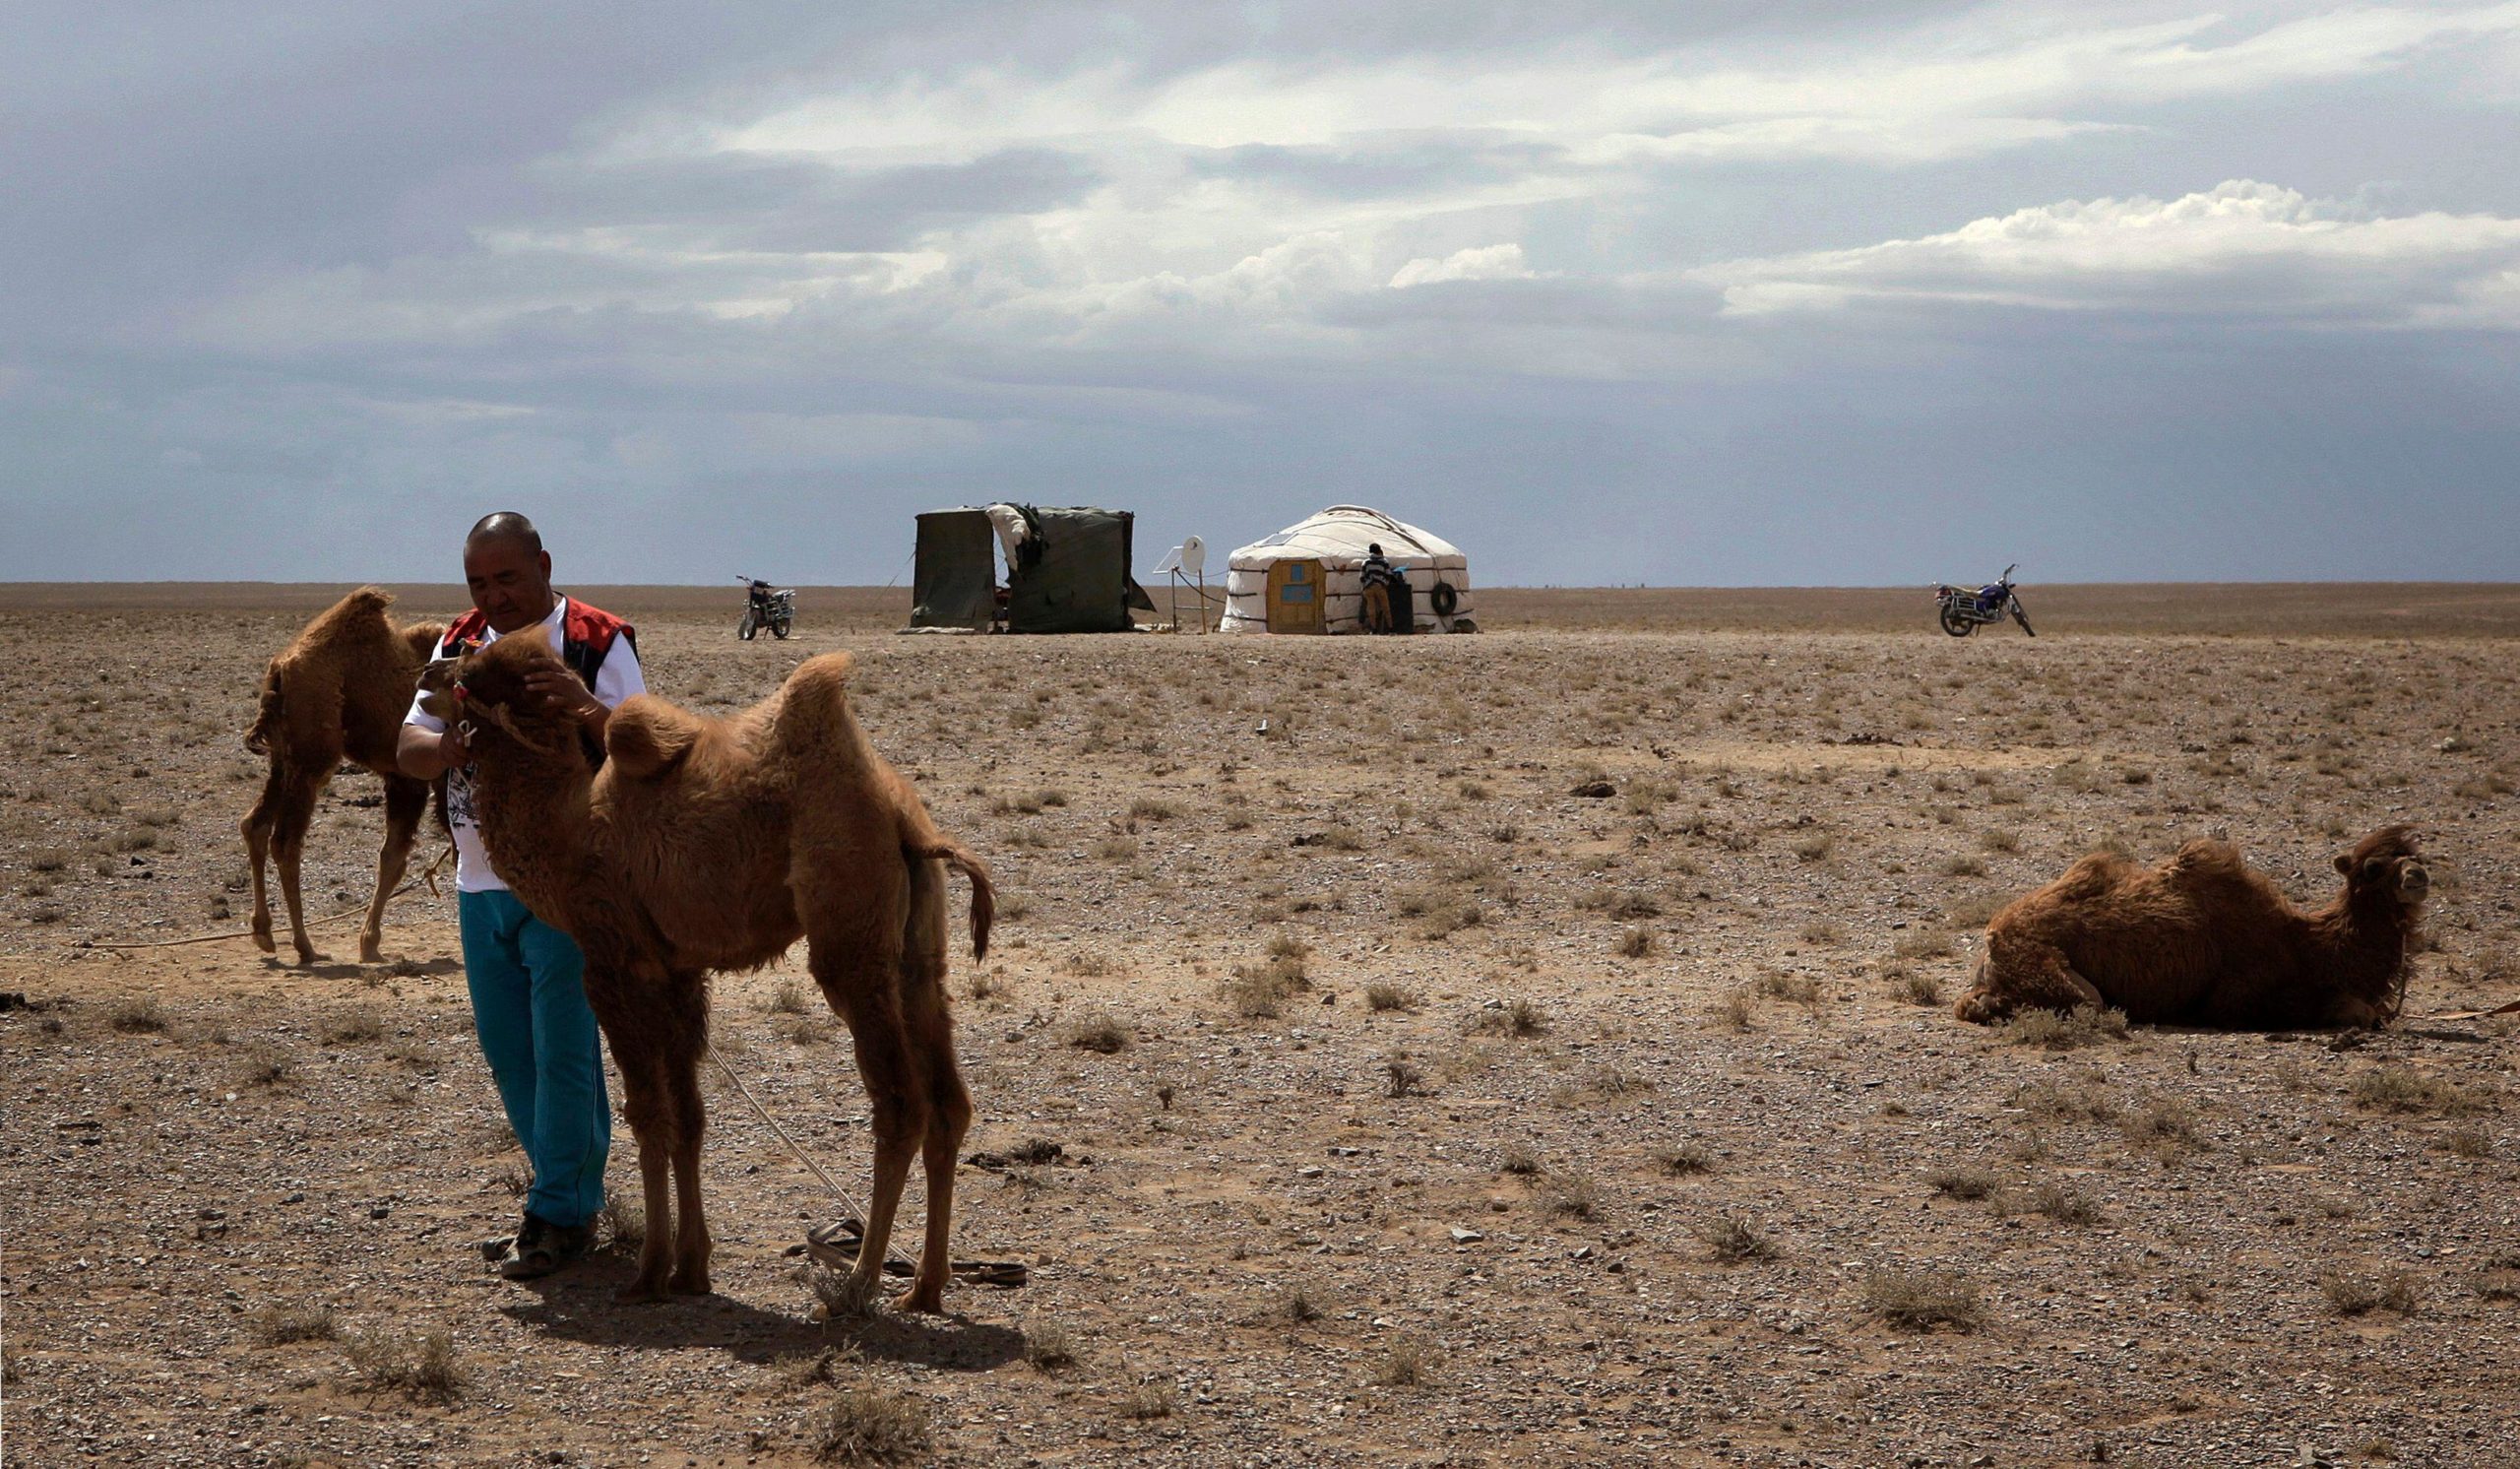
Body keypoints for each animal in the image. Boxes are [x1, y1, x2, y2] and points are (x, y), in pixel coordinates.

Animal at [243, 588, 444, 965]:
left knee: (254, 825)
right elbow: (399, 857)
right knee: (285, 842)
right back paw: (305, 946)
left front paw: (370, 942)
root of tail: (280, 670)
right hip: (312, 759)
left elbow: (393, 857)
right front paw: (369, 944)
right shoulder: (423, 778)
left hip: (283, 760)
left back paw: (264, 934)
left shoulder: (406, 778)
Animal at [416, 635, 993, 1309]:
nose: (428, 671)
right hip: (916, 956)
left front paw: (648, 1273)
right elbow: (688, 1116)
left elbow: (649, 1115)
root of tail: (907, 824)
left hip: (850, 935)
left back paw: (858, 1283)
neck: (566, 829)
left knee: (901, 1102)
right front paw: (691, 1267)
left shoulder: (613, 964)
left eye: (470, 667)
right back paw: (924, 1286)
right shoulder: (678, 973)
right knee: (948, 1101)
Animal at [1954, 825, 2431, 1031]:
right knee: (2087, 1003)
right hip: (2051, 971)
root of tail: (1990, 940)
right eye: (2373, 868)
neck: (2306, 944)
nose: (2418, 877)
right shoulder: (2237, 998)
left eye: (2419, 857)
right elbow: (2353, 1010)